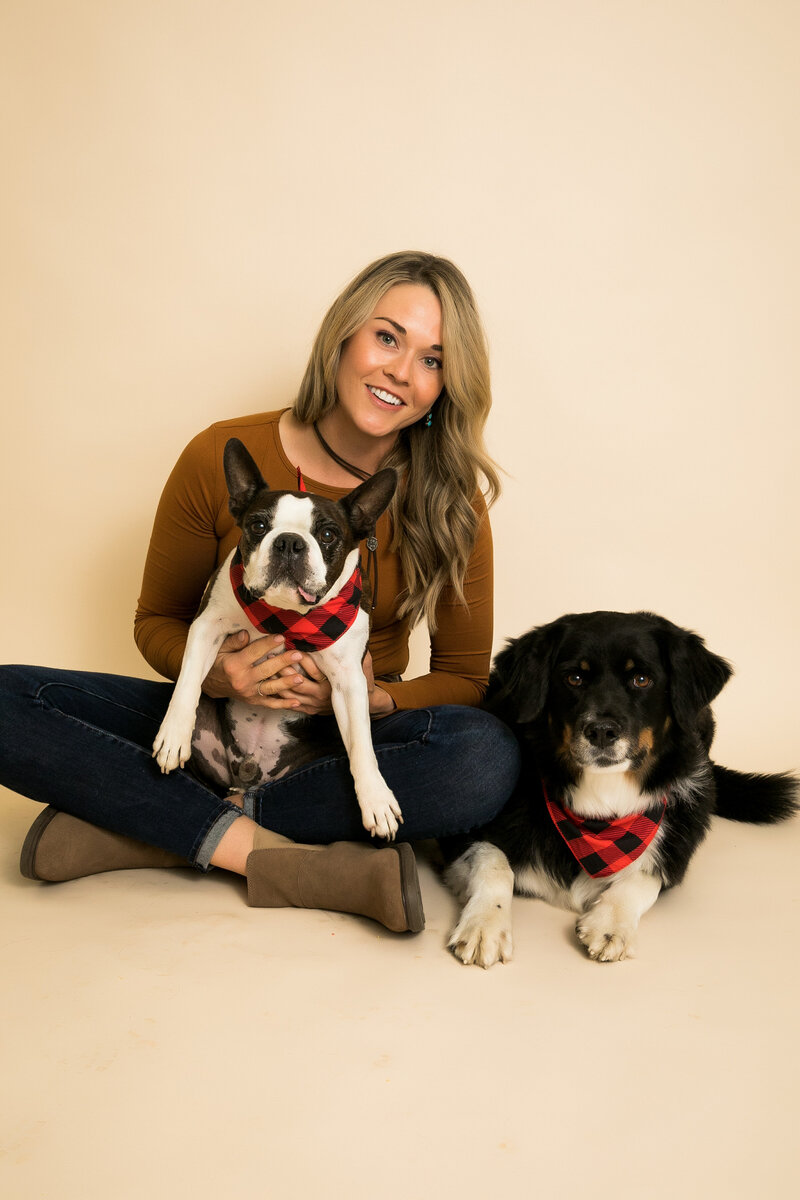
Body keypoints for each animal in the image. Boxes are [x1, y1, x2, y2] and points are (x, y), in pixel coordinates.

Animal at [151, 436, 400, 840]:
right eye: (258, 525)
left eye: (328, 534)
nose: (288, 542)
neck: (286, 618)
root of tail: (249, 775)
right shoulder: (206, 626)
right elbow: (187, 682)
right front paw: (173, 735)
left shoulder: (350, 680)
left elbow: (363, 743)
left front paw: (376, 800)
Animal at [441, 614, 796, 969]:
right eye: (574, 678)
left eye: (641, 679)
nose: (601, 731)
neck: (600, 813)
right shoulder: (460, 836)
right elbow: (495, 862)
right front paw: (485, 925)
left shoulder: (674, 844)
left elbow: (647, 875)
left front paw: (611, 922)